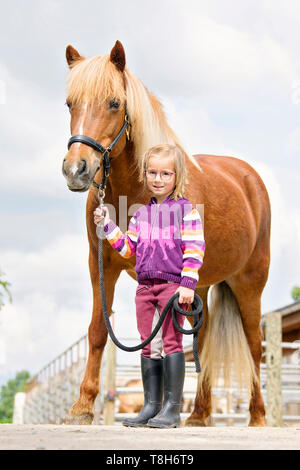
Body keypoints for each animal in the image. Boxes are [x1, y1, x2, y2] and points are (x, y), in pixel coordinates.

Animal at [62, 42, 270, 428]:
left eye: (114, 102)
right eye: (70, 103)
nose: (75, 169)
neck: (134, 190)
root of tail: (249, 179)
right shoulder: (101, 264)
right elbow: (99, 329)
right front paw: (81, 407)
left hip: (249, 283)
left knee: (254, 344)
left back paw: (258, 417)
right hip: (198, 288)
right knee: (202, 337)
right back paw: (199, 414)